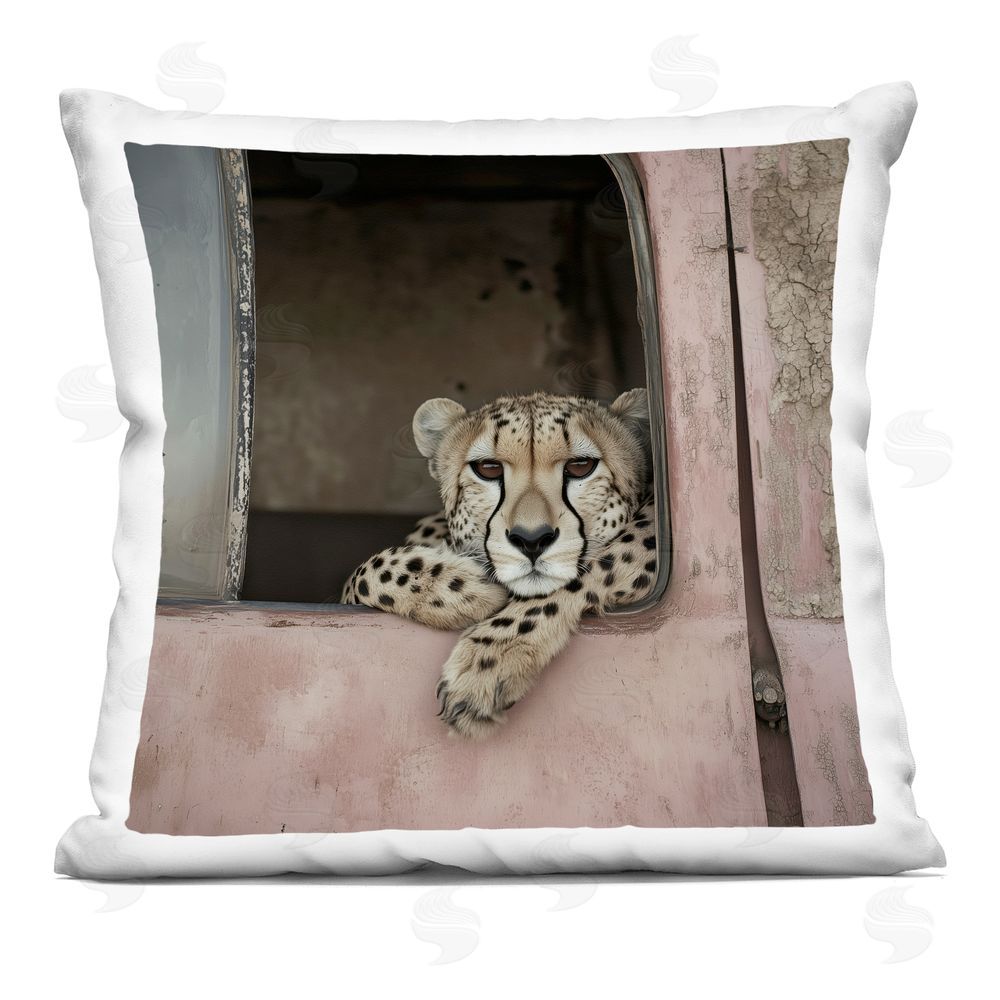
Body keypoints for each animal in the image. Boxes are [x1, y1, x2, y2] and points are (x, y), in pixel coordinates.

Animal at [340, 388, 661, 739]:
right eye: (489, 469)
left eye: (581, 467)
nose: (531, 540)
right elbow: (360, 576)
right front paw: (462, 589)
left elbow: (602, 561)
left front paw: (489, 660)